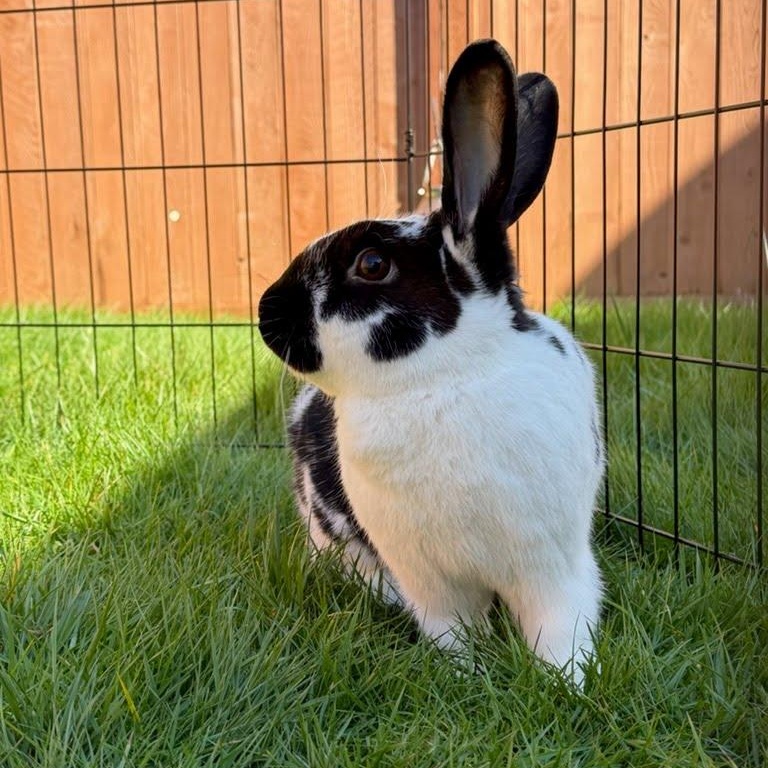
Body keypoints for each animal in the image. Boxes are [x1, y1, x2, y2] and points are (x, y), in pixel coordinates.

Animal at [258, 39, 604, 684]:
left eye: (372, 264)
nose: (267, 314)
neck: (444, 382)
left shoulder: (553, 565)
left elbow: (559, 628)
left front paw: (567, 684)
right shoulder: (429, 577)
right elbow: (453, 630)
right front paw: (465, 675)